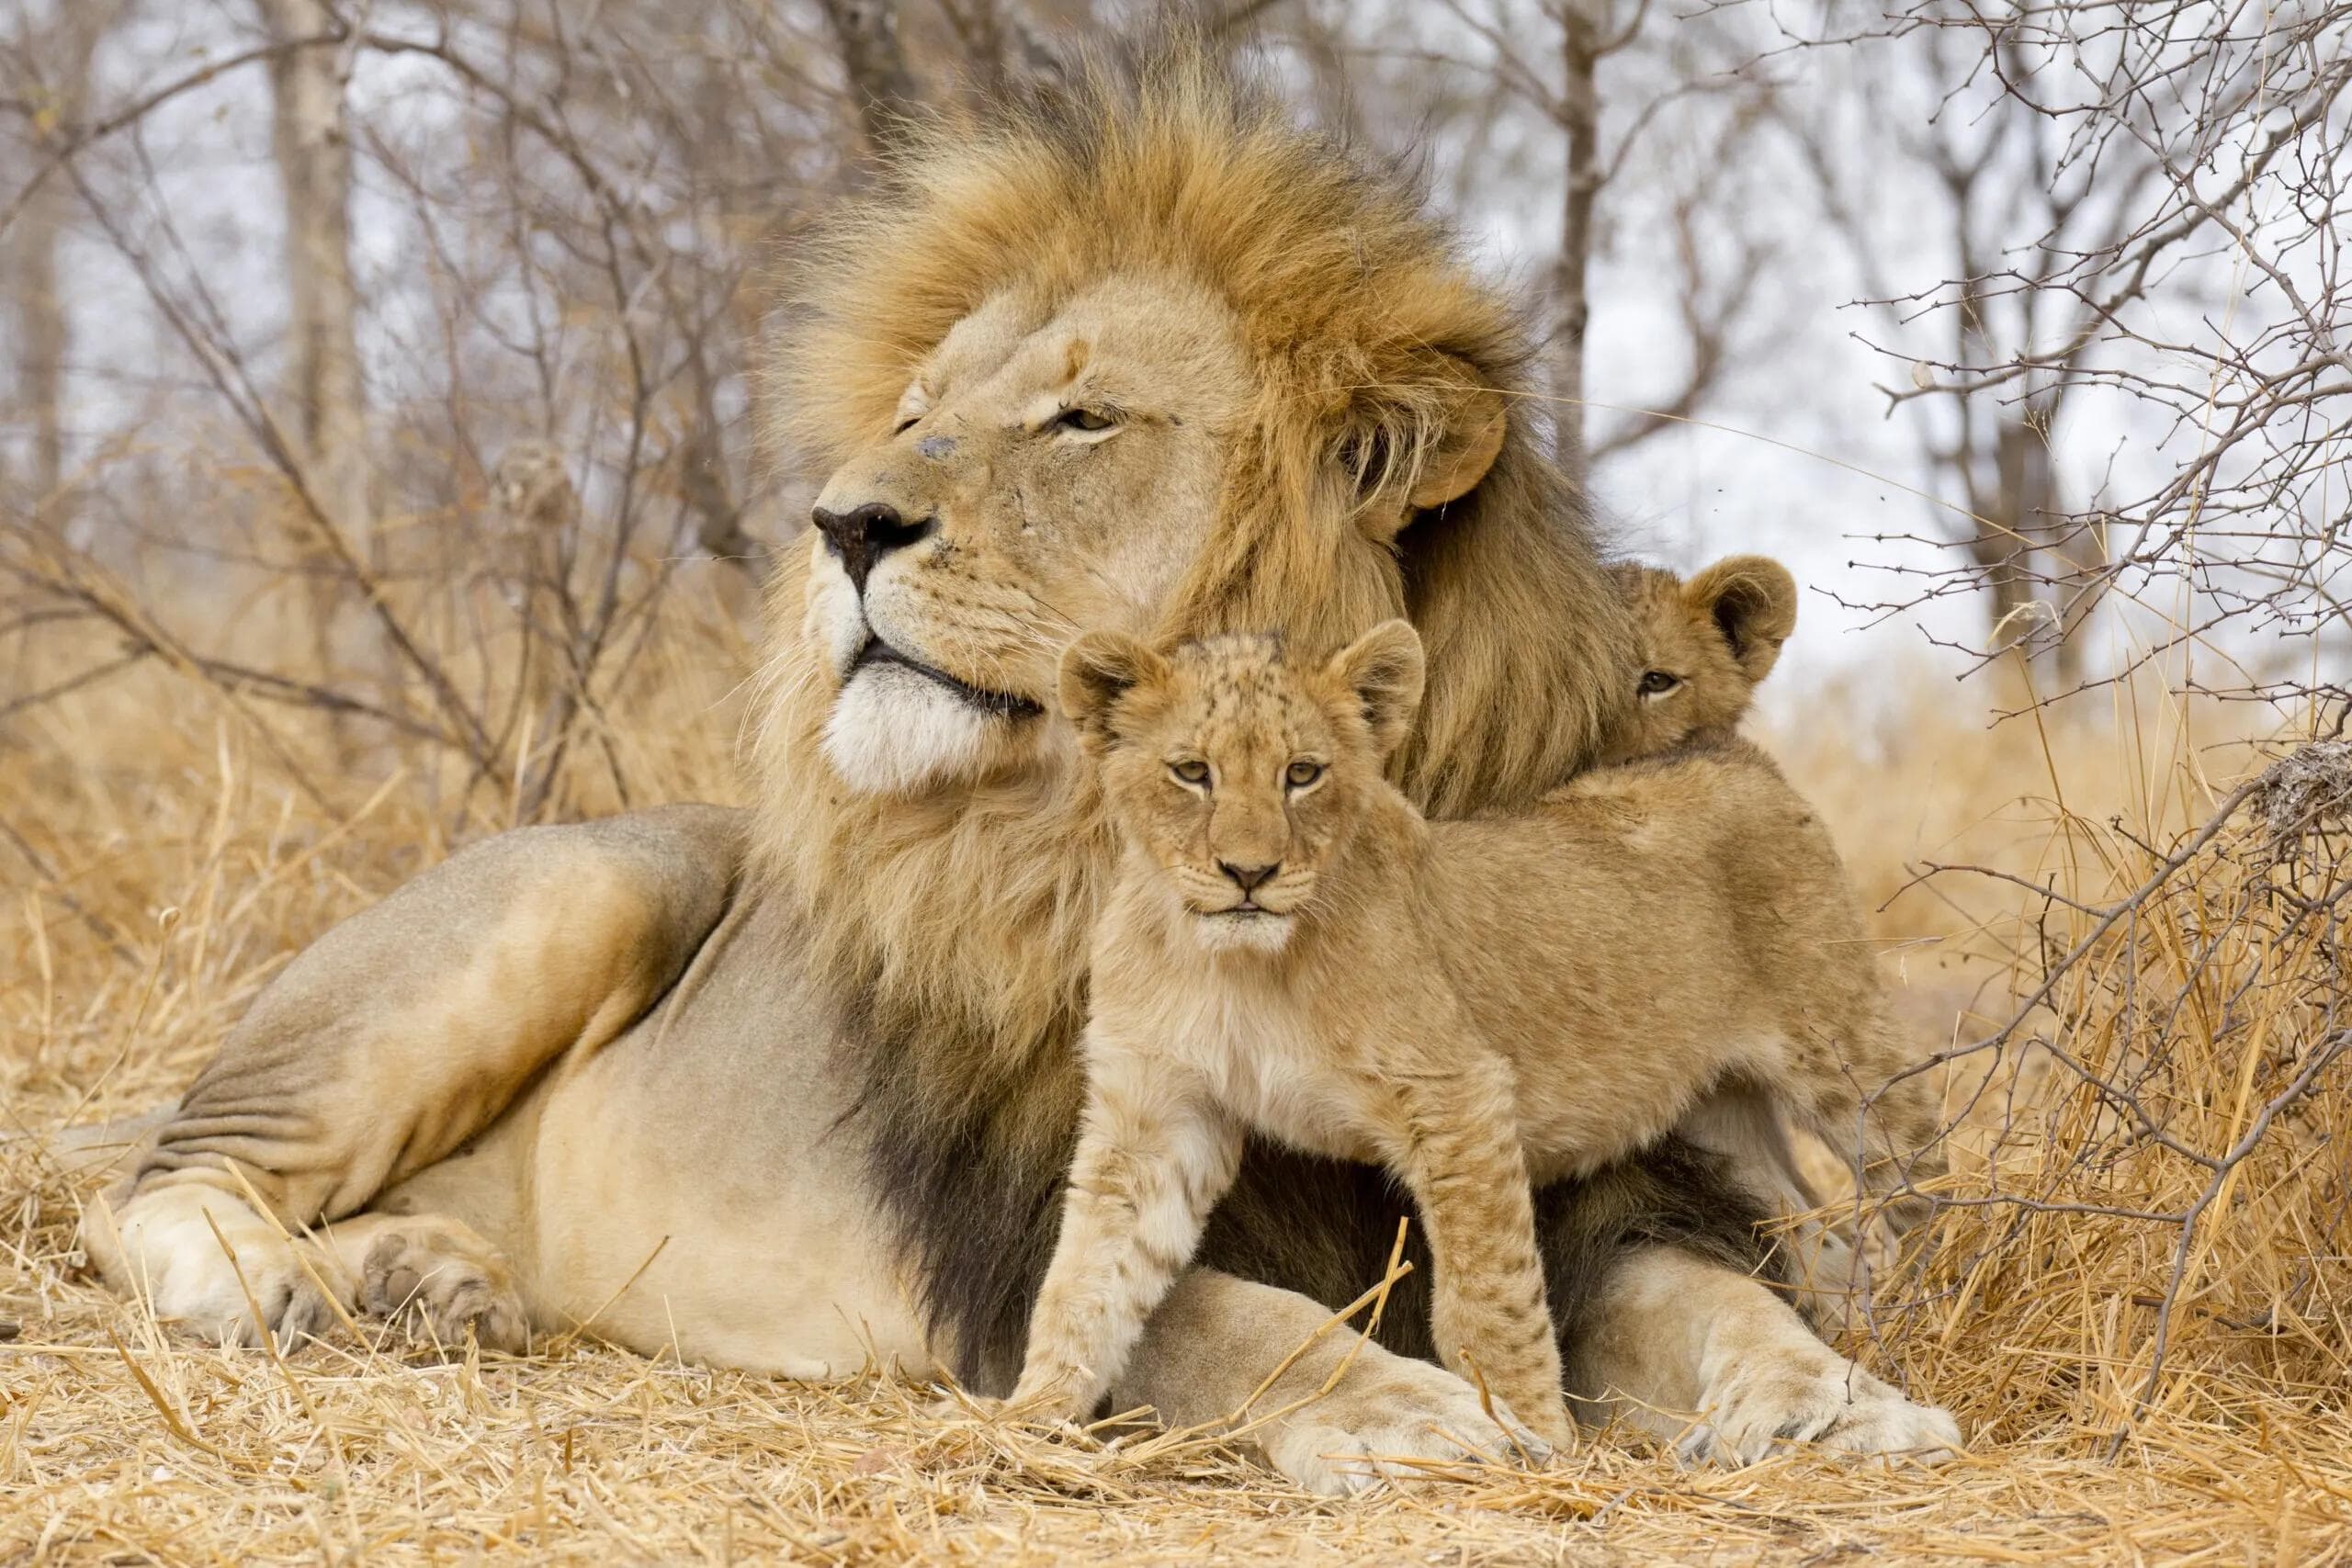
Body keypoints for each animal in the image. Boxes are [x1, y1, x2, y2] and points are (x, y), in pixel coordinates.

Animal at [1011, 623, 1952, 1452]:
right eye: (1191, 772)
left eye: (1303, 774)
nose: (1251, 872)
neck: (1233, 965)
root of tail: (1730, 753)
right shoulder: (1155, 1115)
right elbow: (1086, 1274)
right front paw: (1024, 1424)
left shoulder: (1457, 1092)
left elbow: (1484, 1299)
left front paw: (1536, 1439)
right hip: (1718, 1108)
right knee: (1813, 1223)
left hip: (1840, 1052)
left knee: (1920, 1181)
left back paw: (1949, 1308)